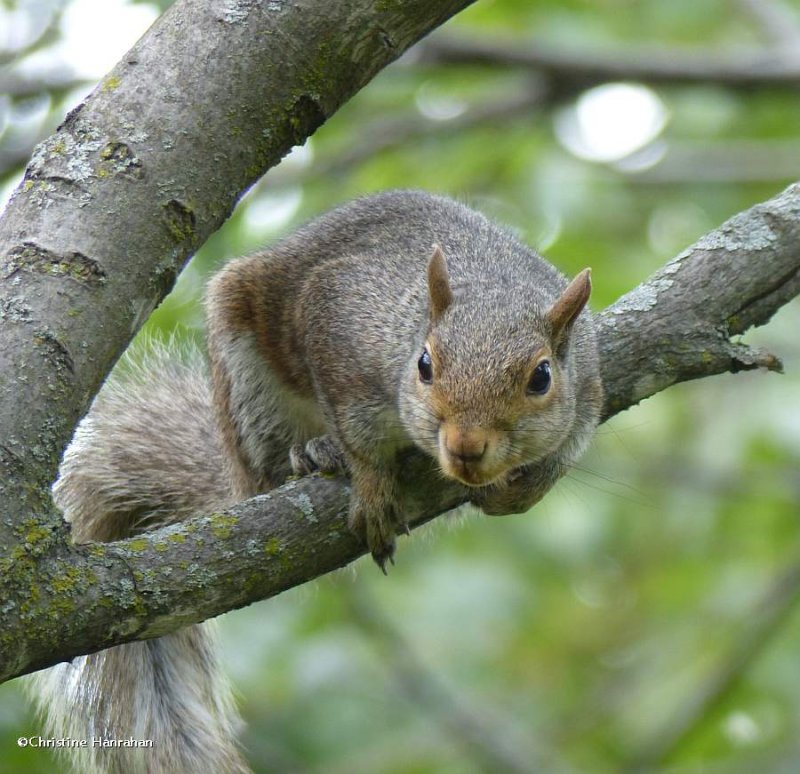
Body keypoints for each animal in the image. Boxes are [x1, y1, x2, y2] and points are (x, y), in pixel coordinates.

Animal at [32, 189, 608, 774]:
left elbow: (573, 438)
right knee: (269, 470)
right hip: (247, 381)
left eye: (541, 376)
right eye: (424, 364)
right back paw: (309, 456)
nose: (466, 448)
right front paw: (372, 487)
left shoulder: (590, 381)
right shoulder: (339, 321)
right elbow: (358, 433)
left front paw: (532, 483)